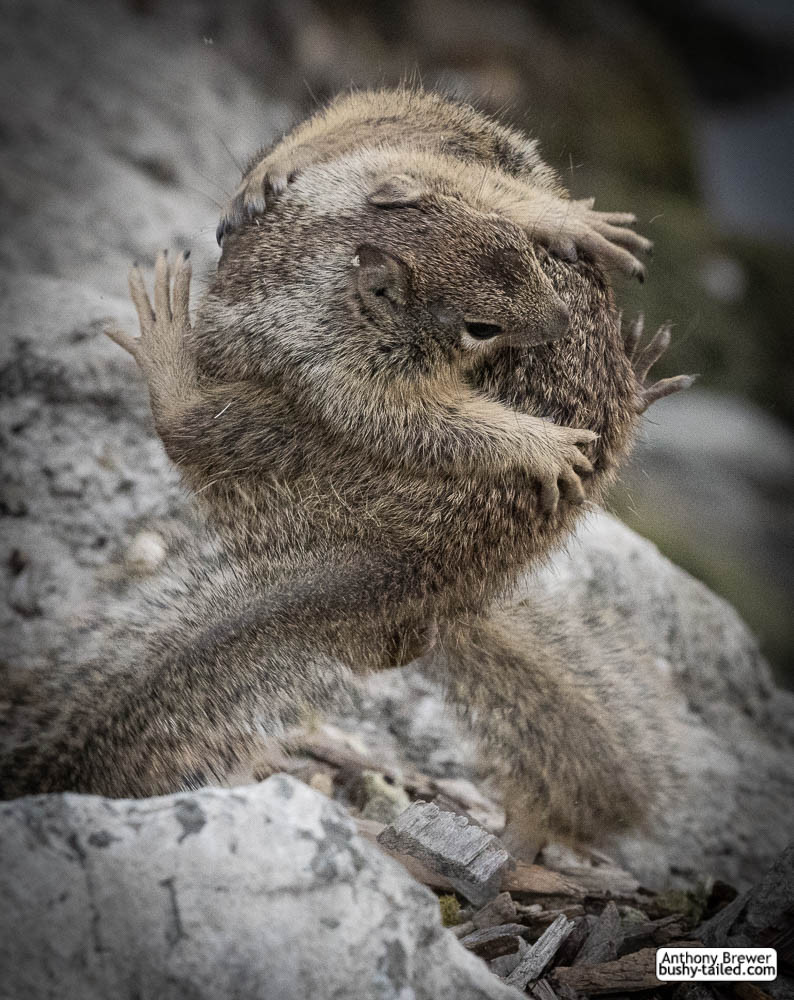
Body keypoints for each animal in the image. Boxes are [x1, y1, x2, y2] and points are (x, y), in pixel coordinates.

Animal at [0, 95, 688, 860]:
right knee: (190, 431)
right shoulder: (351, 363)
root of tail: (416, 561)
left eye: (525, 257)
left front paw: (572, 222)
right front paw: (538, 443)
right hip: (273, 442)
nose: (563, 318)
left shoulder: (413, 170)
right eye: (480, 326)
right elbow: (415, 418)